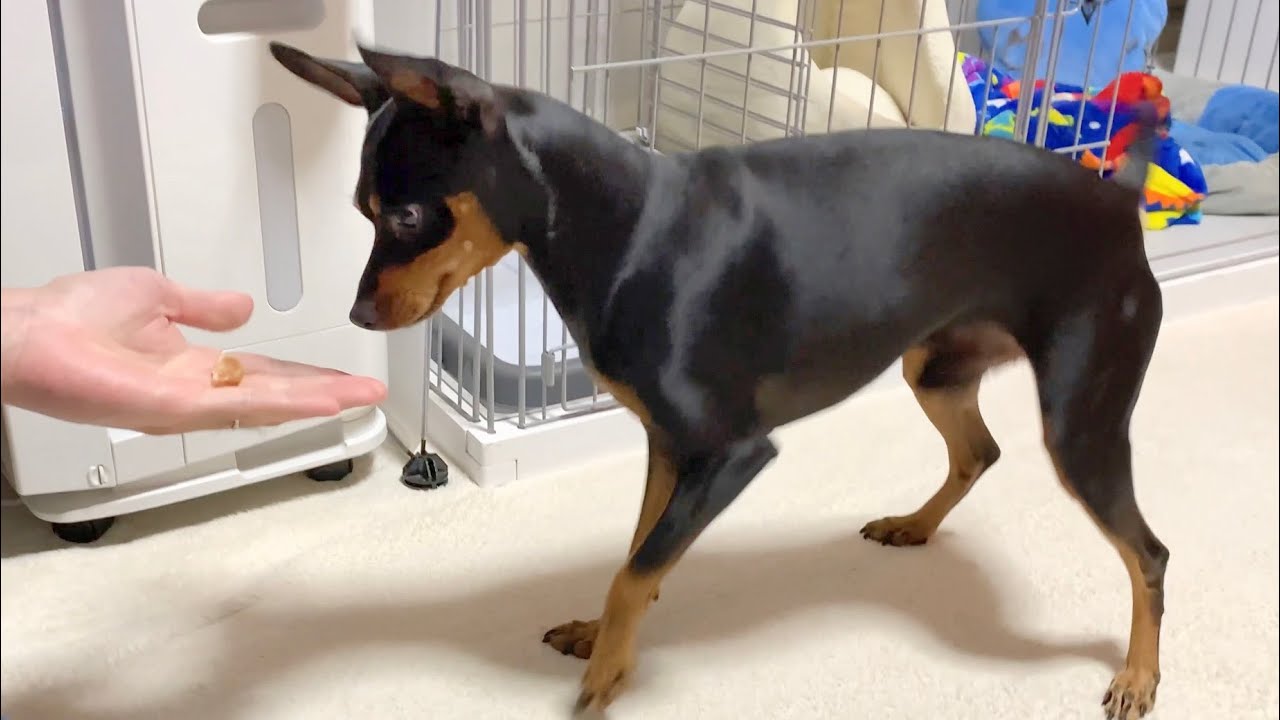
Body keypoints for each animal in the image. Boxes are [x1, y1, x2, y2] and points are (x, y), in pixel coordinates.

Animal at [271, 41, 1170, 720]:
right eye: (360, 209)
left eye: (406, 216)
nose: (357, 314)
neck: (626, 227)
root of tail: (1119, 202)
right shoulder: (669, 447)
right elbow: (641, 551)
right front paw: (600, 637)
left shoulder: (731, 453)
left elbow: (636, 571)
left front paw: (605, 677)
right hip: (938, 368)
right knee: (979, 452)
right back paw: (914, 526)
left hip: (1080, 420)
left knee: (1148, 553)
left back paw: (1137, 677)